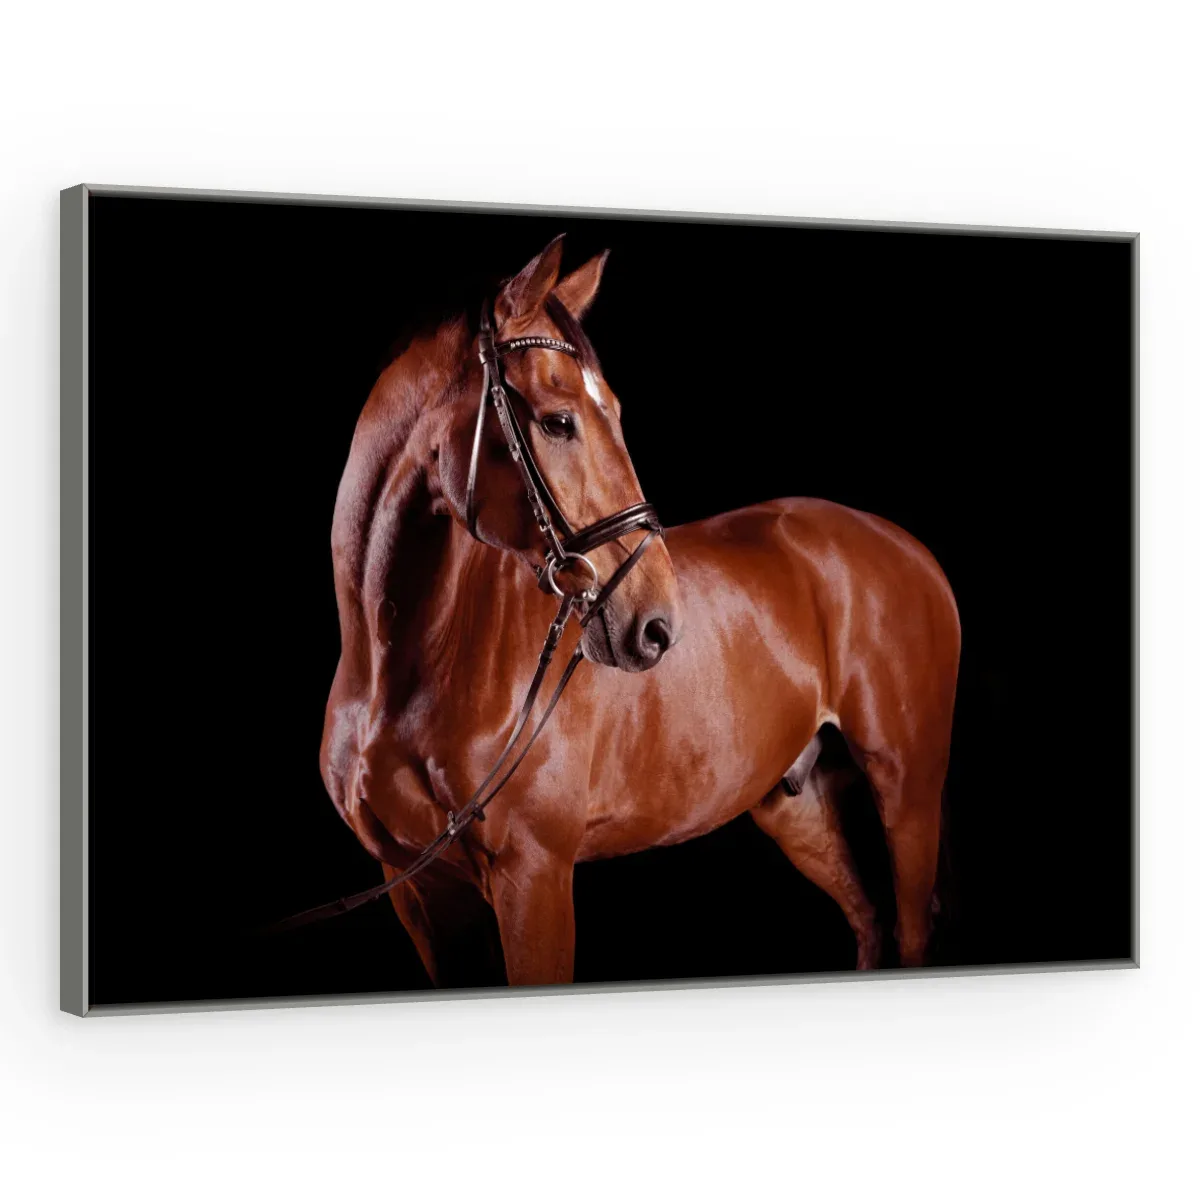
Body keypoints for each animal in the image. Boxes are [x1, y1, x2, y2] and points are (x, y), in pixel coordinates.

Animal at [318, 236, 961, 987]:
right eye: (558, 421)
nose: (657, 625)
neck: (401, 673)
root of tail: (906, 546)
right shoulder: (419, 892)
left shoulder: (533, 877)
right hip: (796, 806)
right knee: (869, 922)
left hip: (907, 788)